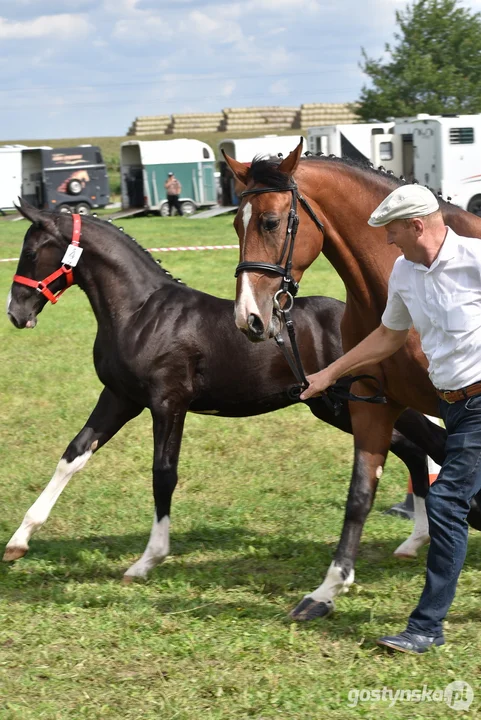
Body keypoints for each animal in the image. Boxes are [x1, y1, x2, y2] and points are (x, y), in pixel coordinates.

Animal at [4, 198, 446, 584]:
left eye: (32, 251)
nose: (16, 313)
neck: (140, 312)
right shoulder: (119, 398)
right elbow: (73, 455)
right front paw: (18, 542)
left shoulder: (168, 403)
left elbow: (163, 473)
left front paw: (147, 561)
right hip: (335, 406)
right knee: (411, 448)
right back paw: (415, 541)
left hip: (353, 405)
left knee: (423, 443)